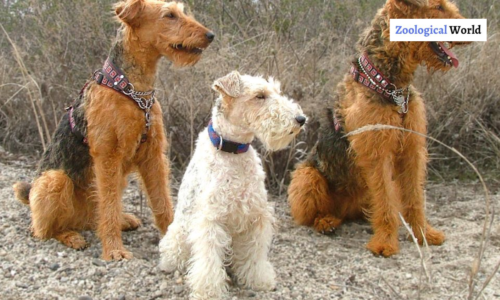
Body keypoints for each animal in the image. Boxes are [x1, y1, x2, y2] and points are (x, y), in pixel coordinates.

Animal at [13, 0, 213, 260]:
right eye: (169, 15)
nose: (210, 35)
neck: (132, 89)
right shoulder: (108, 154)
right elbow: (108, 205)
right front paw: (114, 250)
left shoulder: (153, 154)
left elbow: (161, 201)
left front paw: (172, 240)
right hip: (54, 179)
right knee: (44, 229)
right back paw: (72, 237)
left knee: (93, 218)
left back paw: (123, 220)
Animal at [160, 71, 306, 298]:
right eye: (260, 96)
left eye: (276, 91)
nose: (301, 119)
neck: (233, 151)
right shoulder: (211, 219)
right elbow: (209, 260)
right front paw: (209, 291)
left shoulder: (256, 215)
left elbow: (255, 254)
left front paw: (259, 279)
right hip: (178, 233)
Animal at [288, 0, 470, 258]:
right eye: (438, 7)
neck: (391, 85)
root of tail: (345, 209)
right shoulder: (377, 153)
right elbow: (385, 200)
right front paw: (385, 243)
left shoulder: (412, 150)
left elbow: (414, 197)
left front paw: (423, 233)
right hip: (307, 177)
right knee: (313, 214)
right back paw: (326, 222)